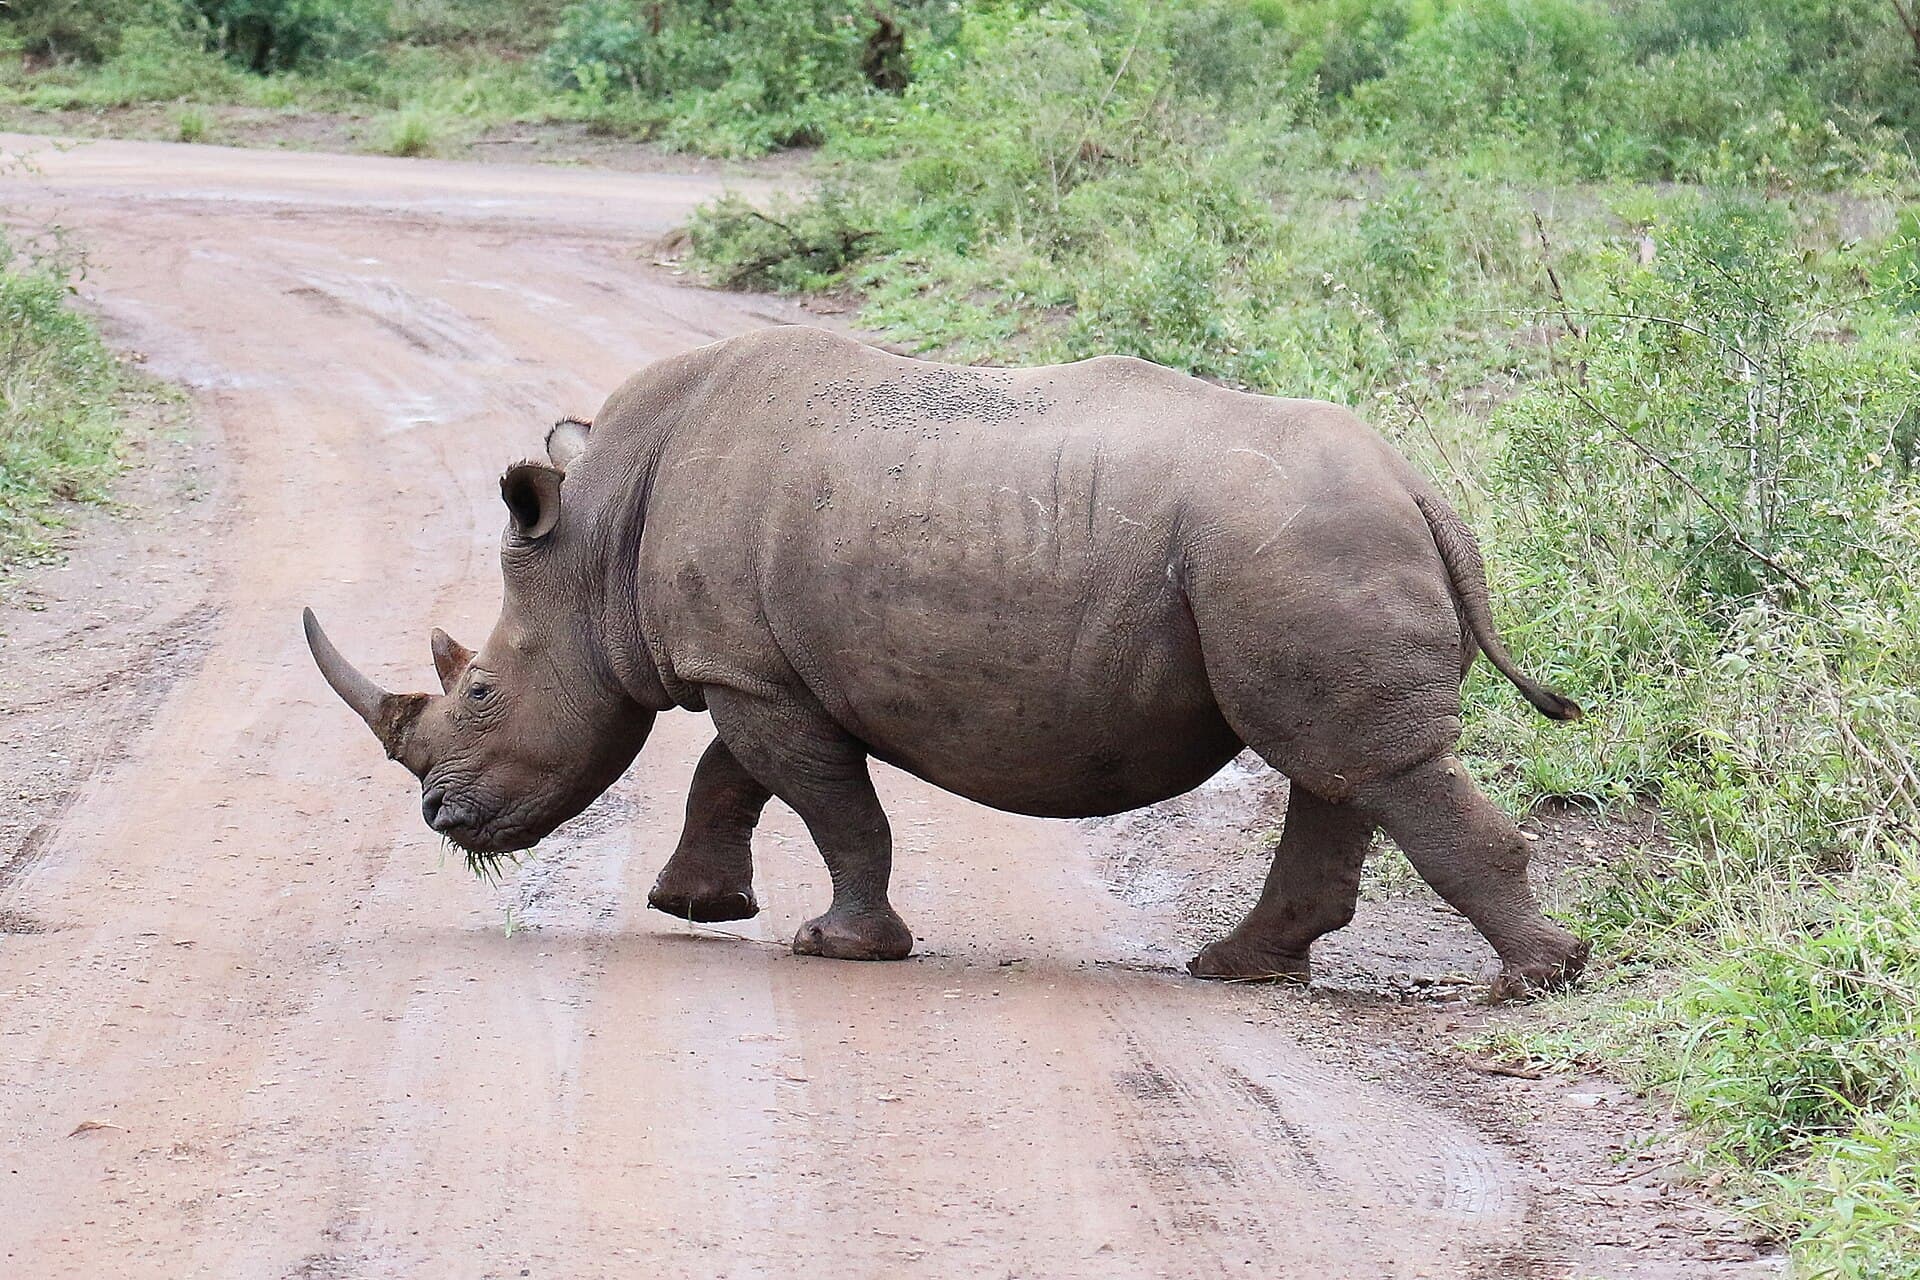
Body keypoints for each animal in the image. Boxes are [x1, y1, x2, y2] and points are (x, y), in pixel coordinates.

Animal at [305, 326, 1589, 997]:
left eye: (481, 692)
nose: (439, 816)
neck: (599, 538)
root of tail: (1422, 489)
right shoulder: (757, 665)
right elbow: (731, 774)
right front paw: (694, 903)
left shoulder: (751, 671)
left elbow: (830, 805)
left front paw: (836, 945)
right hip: (1301, 547)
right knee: (1339, 761)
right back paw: (1234, 969)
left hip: (1299, 543)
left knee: (1359, 760)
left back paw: (1537, 979)